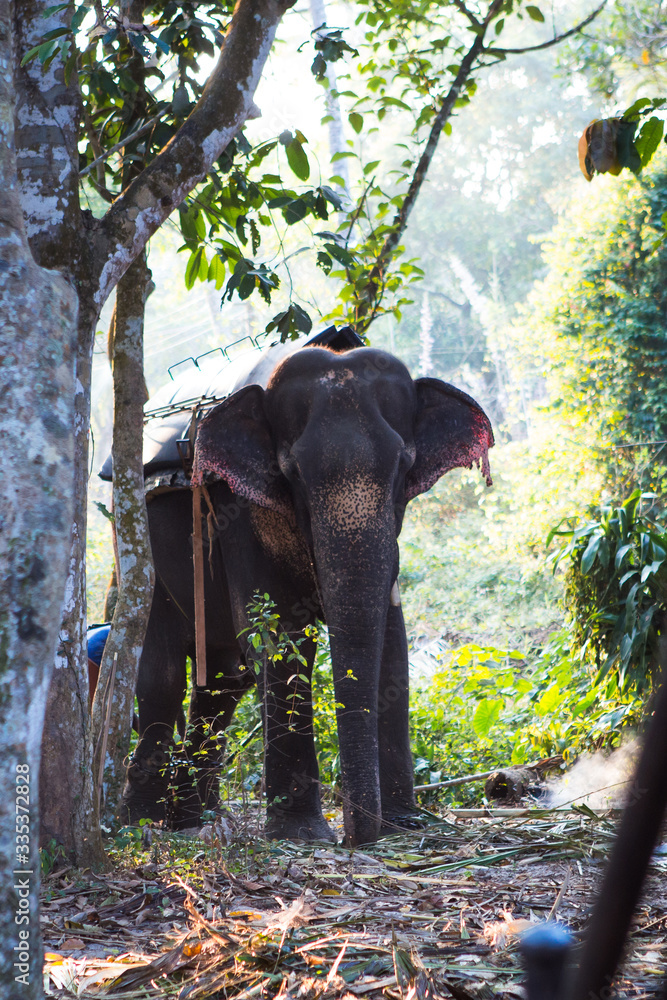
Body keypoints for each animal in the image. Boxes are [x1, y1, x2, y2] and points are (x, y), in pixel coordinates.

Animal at [104, 326, 493, 846]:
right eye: (291, 474)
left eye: (403, 466)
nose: (357, 834)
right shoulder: (239, 506)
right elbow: (280, 636)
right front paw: (303, 835)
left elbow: (392, 639)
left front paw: (405, 824)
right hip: (134, 542)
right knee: (161, 673)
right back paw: (142, 823)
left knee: (226, 681)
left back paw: (197, 819)